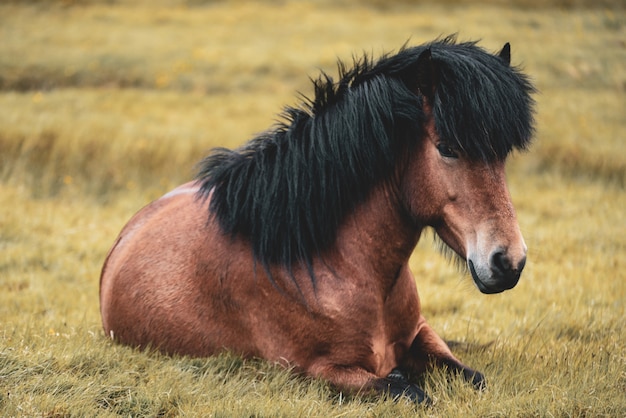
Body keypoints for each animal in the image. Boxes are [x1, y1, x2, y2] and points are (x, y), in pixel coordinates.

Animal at [100, 37, 532, 404]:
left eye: (502, 154)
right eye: (447, 148)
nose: (508, 261)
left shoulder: (421, 333)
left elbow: (474, 377)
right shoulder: (314, 371)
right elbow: (408, 392)